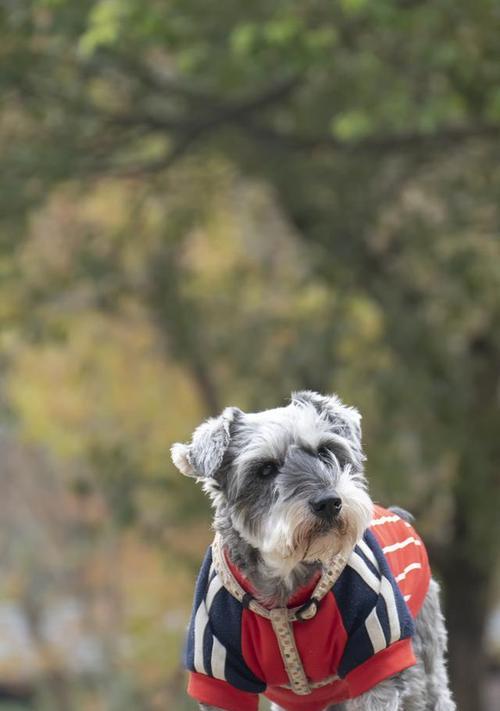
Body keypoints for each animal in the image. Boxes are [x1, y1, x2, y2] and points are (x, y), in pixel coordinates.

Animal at [172, 392, 458, 711]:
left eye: (325, 451)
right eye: (265, 468)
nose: (329, 502)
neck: (286, 577)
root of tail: (400, 515)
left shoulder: (377, 656)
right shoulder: (219, 674)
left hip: (422, 672)